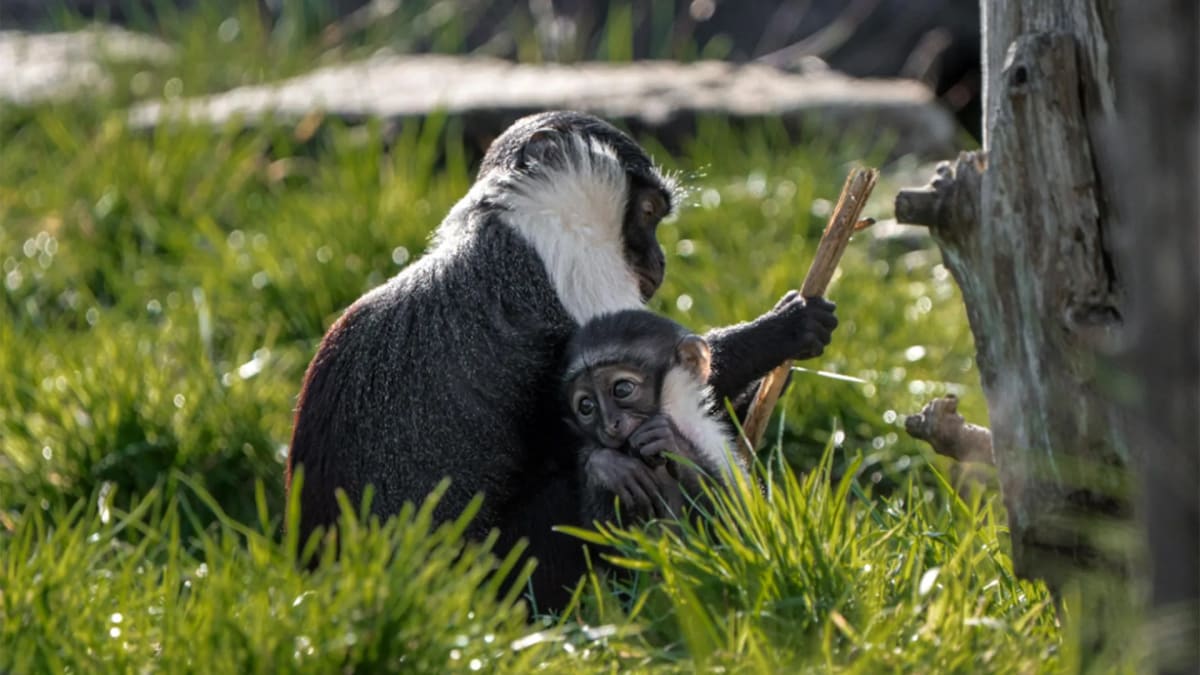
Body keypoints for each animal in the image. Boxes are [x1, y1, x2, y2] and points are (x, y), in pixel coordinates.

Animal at [561, 309, 746, 528]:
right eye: (586, 406)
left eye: (622, 389)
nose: (610, 425)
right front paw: (606, 467)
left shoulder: (711, 439)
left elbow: (737, 525)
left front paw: (674, 445)